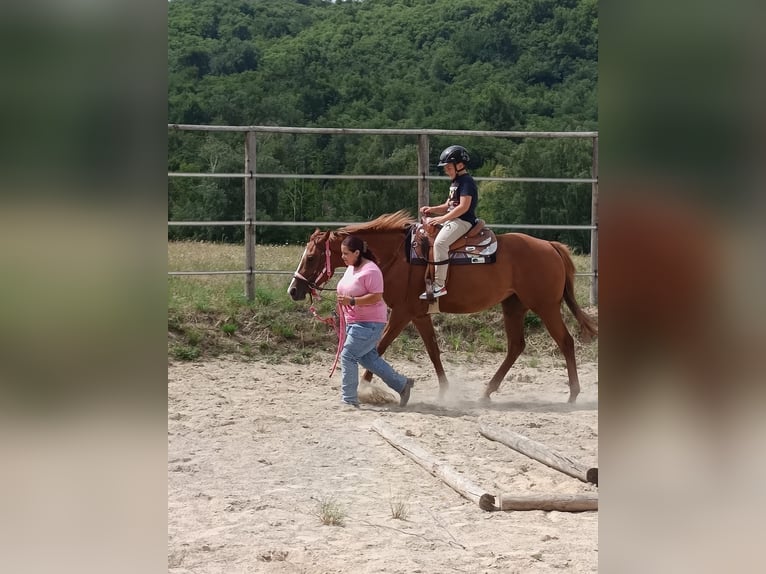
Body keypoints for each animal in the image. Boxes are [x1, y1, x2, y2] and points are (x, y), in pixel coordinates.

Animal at [287, 210, 597, 403]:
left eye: (311, 257)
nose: (294, 290)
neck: (399, 257)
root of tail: (550, 246)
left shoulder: (402, 314)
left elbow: (381, 346)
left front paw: (365, 388)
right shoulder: (419, 315)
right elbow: (433, 352)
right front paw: (445, 391)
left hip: (545, 306)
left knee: (565, 342)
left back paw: (572, 394)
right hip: (514, 307)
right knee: (516, 346)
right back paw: (487, 392)